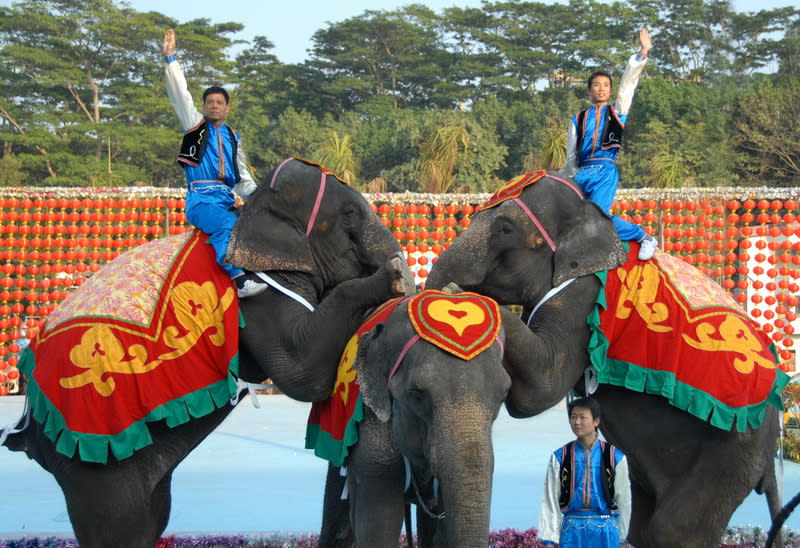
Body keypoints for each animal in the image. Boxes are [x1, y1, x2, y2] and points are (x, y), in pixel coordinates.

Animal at [4, 157, 418, 548]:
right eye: (349, 214)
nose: (401, 265)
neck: (252, 208)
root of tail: (27, 421)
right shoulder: (258, 287)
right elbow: (301, 374)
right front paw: (392, 277)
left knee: (151, 516)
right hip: (91, 450)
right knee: (119, 523)